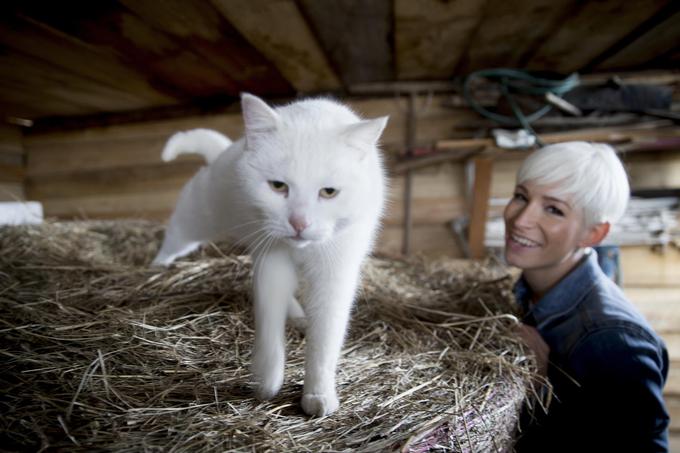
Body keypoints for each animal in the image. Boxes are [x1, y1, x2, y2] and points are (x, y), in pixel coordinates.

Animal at [154, 93, 388, 414]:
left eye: (329, 192)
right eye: (278, 186)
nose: (299, 223)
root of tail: (224, 153)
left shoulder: (336, 274)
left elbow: (325, 340)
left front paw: (318, 394)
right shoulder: (272, 262)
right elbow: (268, 327)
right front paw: (267, 382)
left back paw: (299, 316)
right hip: (196, 220)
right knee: (173, 240)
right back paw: (155, 268)